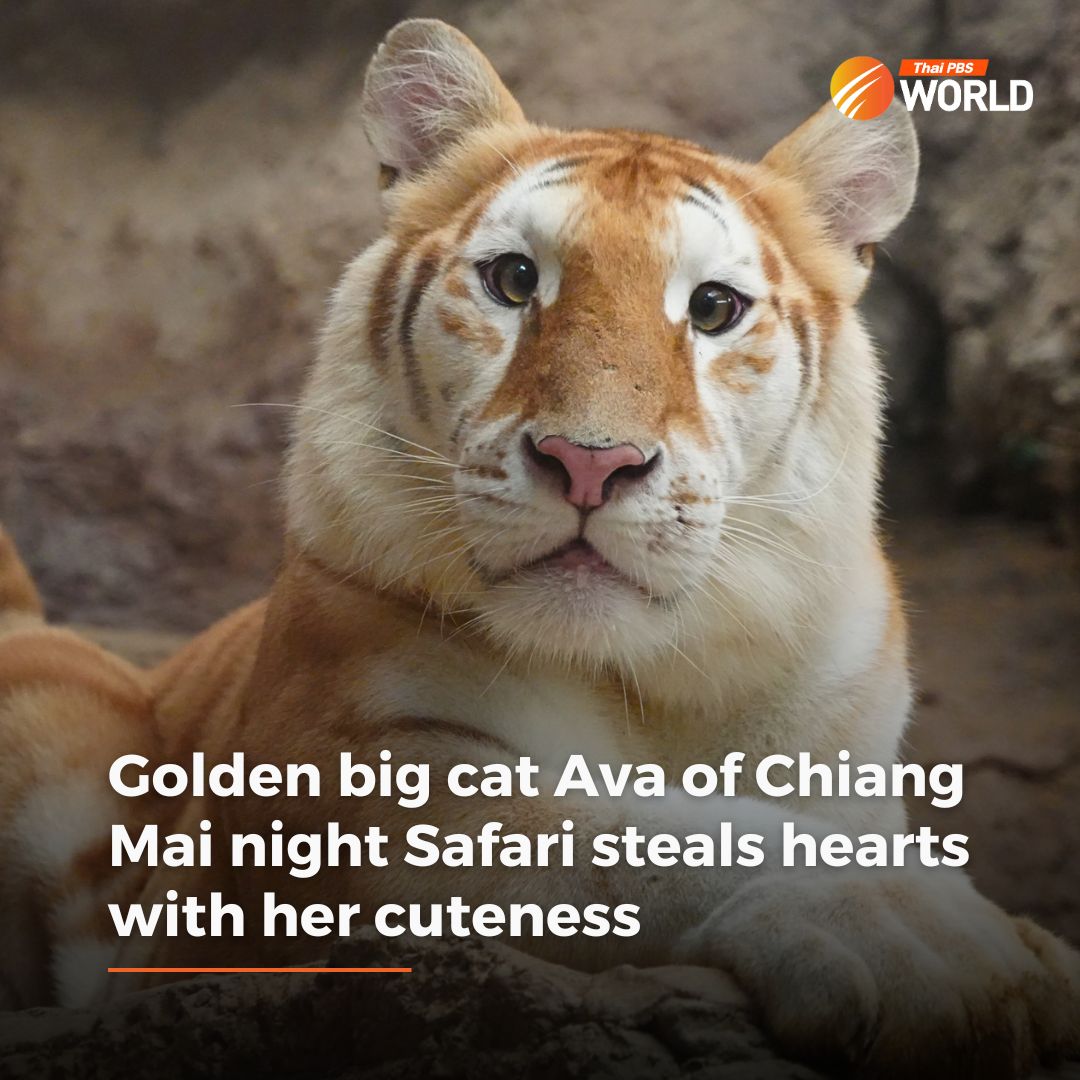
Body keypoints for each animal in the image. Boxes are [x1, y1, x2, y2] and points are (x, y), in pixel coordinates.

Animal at [1, 18, 1077, 1078]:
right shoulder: (322, 787)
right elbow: (623, 834)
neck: (651, 677)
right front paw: (930, 941)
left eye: (714, 308)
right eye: (516, 280)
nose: (590, 463)